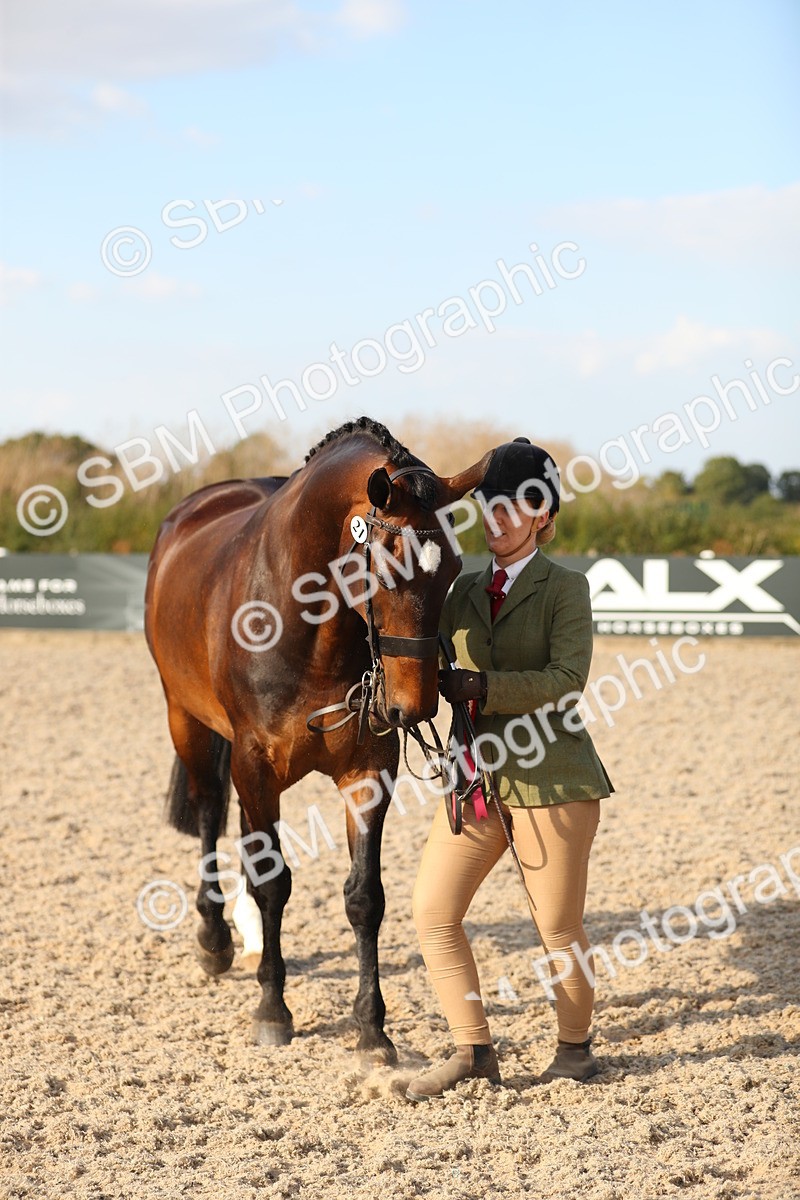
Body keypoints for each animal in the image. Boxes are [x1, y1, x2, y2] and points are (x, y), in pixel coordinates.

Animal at [144, 416, 491, 1063]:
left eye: (454, 570)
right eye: (388, 568)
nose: (414, 706)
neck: (302, 625)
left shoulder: (368, 771)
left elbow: (364, 897)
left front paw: (371, 1029)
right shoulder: (255, 766)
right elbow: (271, 882)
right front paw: (272, 1009)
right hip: (186, 719)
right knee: (207, 810)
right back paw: (214, 937)